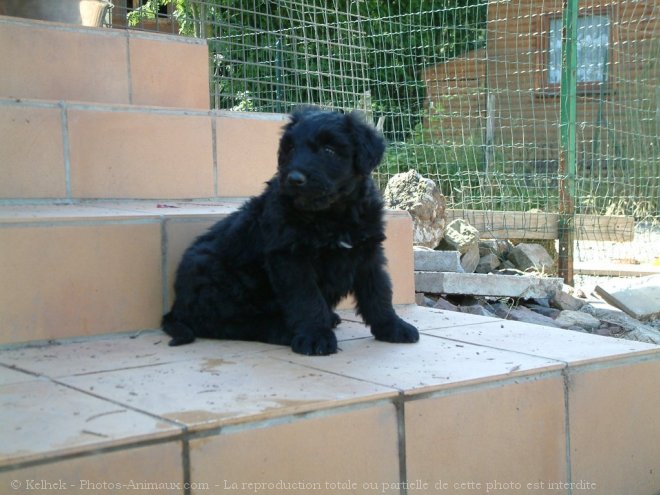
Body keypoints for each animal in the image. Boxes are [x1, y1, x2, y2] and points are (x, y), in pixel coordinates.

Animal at [162, 108, 418, 356]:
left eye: (329, 150)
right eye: (291, 148)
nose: (294, 179)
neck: (332, 215)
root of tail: (176, 307)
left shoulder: (368, 252)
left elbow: (378, 293)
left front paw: (393, 327)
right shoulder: (290, 258)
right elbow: (306, 299)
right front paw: (315, 336)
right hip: (217, 276)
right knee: (226, 323)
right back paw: (283, 330)